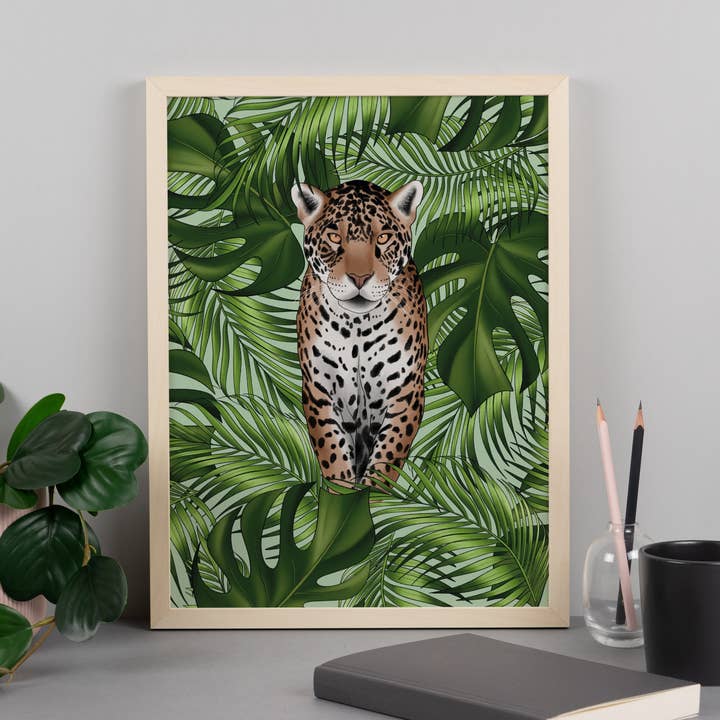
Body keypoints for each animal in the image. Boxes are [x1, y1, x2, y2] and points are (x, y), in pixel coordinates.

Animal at [292, 179, 428, 490]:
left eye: (383, 238)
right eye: (333, 236)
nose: (359, 278)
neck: (356, 325)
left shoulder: (406, 392)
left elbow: (385, 462)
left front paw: (371, 497)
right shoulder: (319, 390)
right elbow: (333, 455)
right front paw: (340, 495)